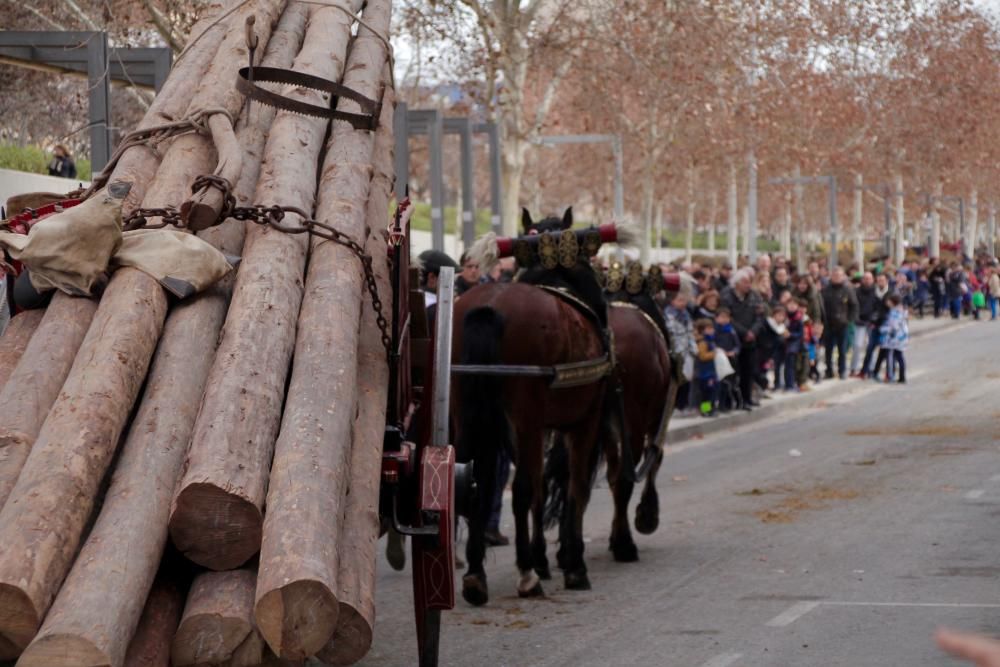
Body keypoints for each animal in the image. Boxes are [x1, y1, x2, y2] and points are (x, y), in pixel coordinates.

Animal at [454, 209, 608, 604]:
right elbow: (573, 486)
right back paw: (526, 575)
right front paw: (572, 564)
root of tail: (491, 305)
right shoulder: (582, 422)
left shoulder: (536, 428)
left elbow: (538, 486)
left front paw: (543, 558)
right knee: (521, 488)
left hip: (471, 415)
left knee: (472, 482)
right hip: (524, 419)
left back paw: (476, 574)